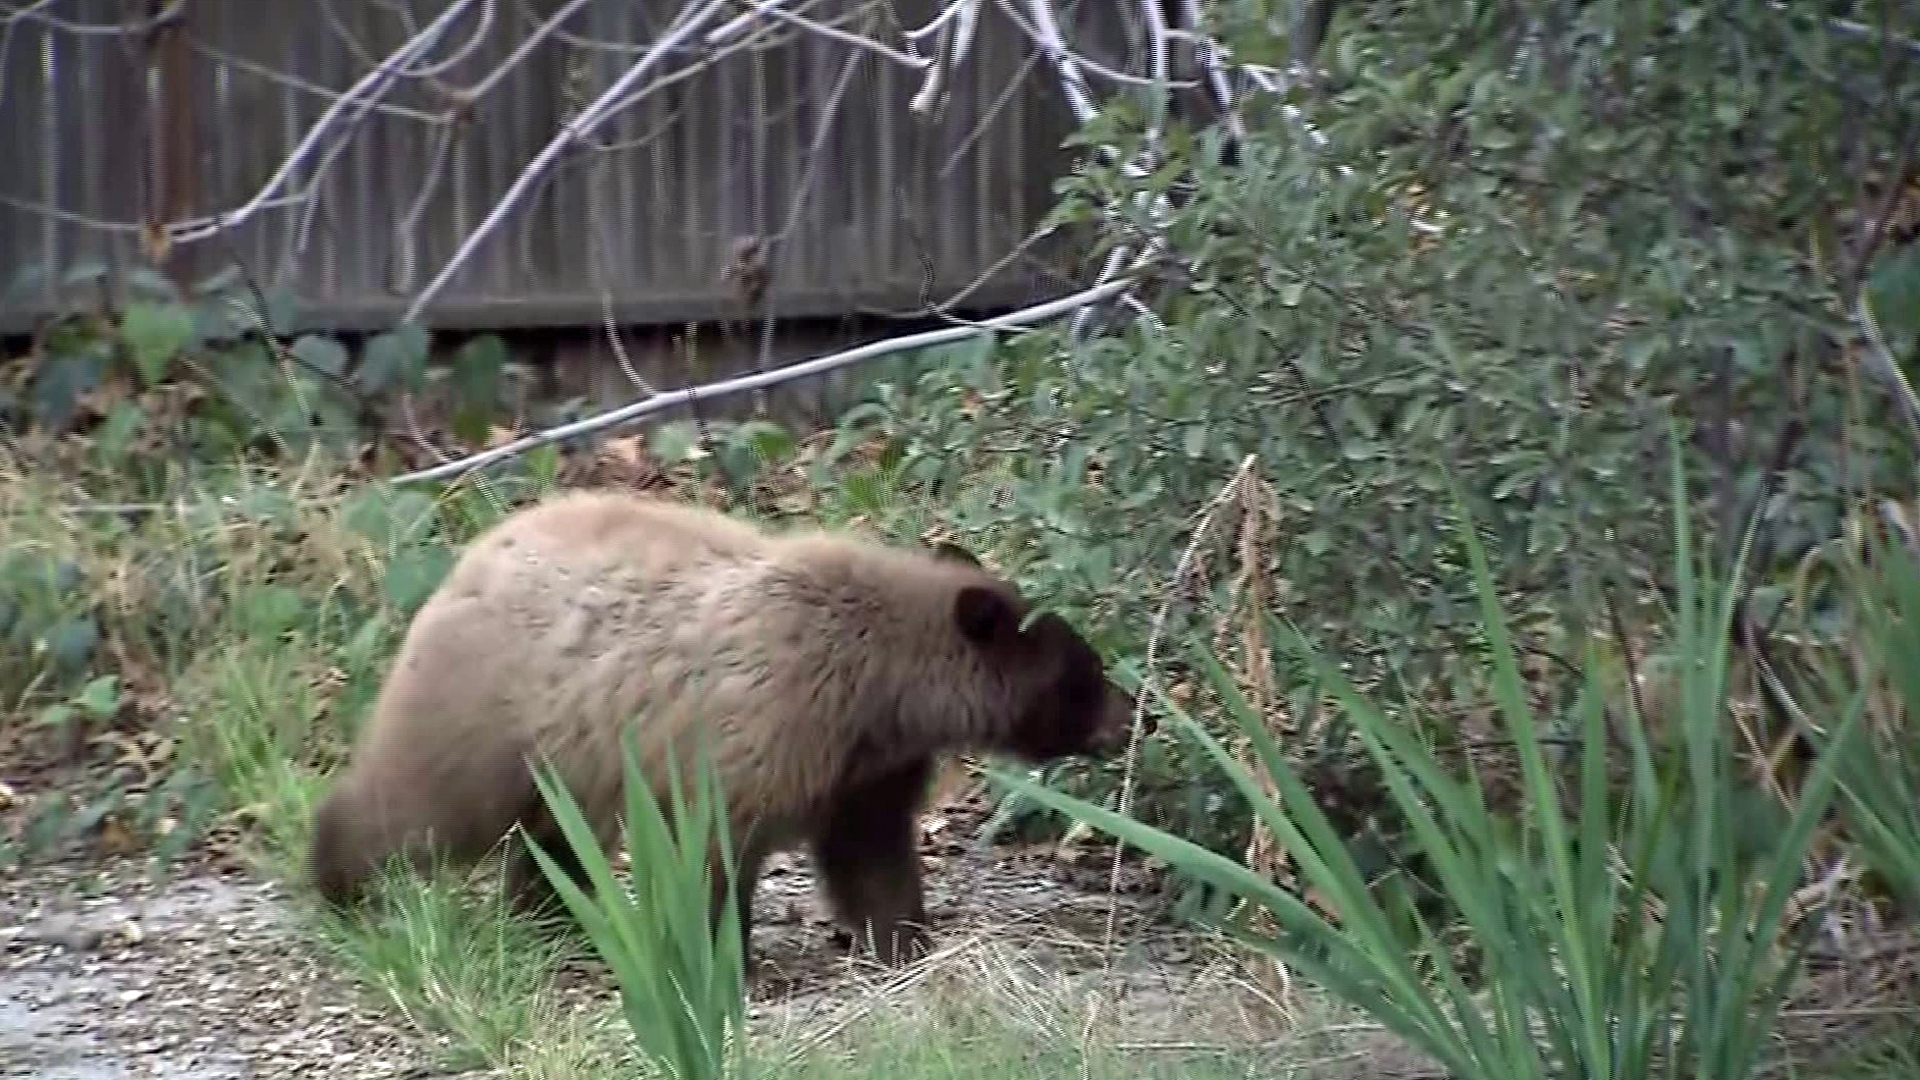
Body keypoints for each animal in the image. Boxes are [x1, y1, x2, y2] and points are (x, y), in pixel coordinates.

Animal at [307, 488, 1132, 967]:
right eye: (1084, 674)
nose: (1130, 716)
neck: (880, 690)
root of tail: (466, 560)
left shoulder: (864, 769)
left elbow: (871, 855)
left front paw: (904, 940)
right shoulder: (759, 729)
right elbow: (706, 849)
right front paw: (718, 961)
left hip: (567, 758)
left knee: (551, 841)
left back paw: (548, 919)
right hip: (485, 711)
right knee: (419, 806)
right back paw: (341, 882)